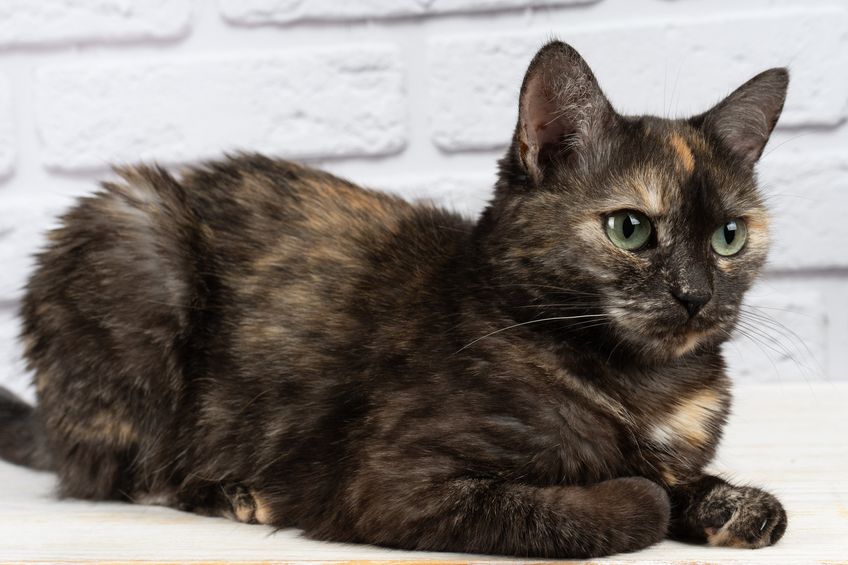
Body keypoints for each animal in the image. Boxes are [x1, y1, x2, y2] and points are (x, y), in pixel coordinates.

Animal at [1, 41, 788, 556]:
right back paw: (235, 494)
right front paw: (650, 497)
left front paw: (734, 504)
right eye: (630, 228)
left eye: (728, 236)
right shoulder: (391, 483)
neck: (645, 384)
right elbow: (624, 502)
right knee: (130, 473)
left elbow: (694, 481)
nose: (695, 294)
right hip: (137, 235)